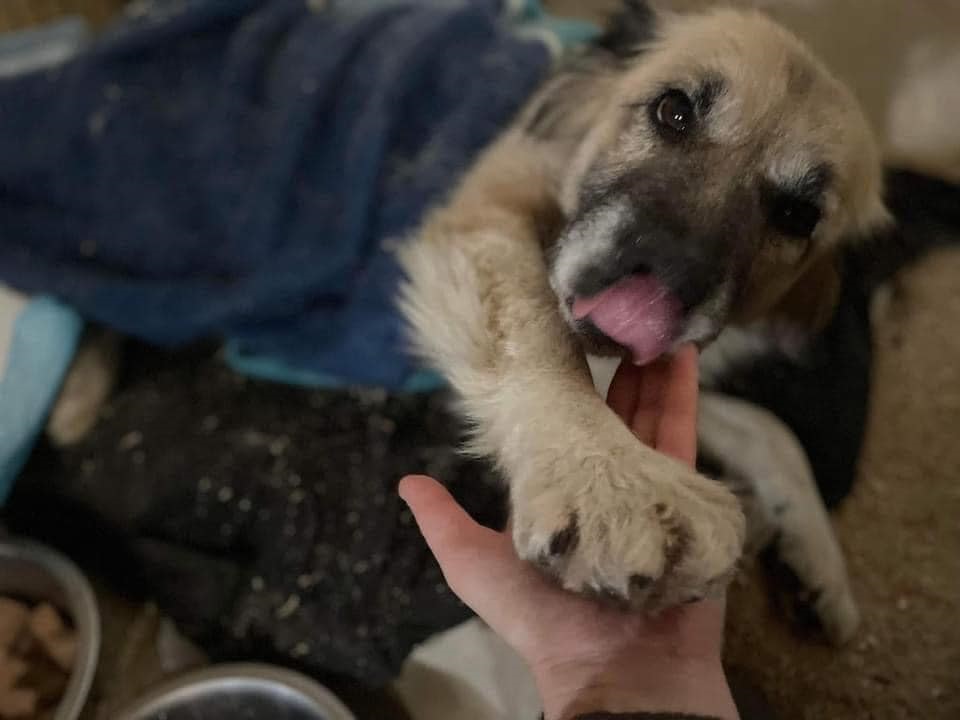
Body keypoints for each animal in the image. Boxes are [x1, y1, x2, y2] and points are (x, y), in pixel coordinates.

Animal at [398, 1, 891, 640]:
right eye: (673, 111)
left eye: (797, 215)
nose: (665, 279)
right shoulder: (483, 225)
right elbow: (537, 328)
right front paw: (608, 475)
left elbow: (771, 428)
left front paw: (818, 559)